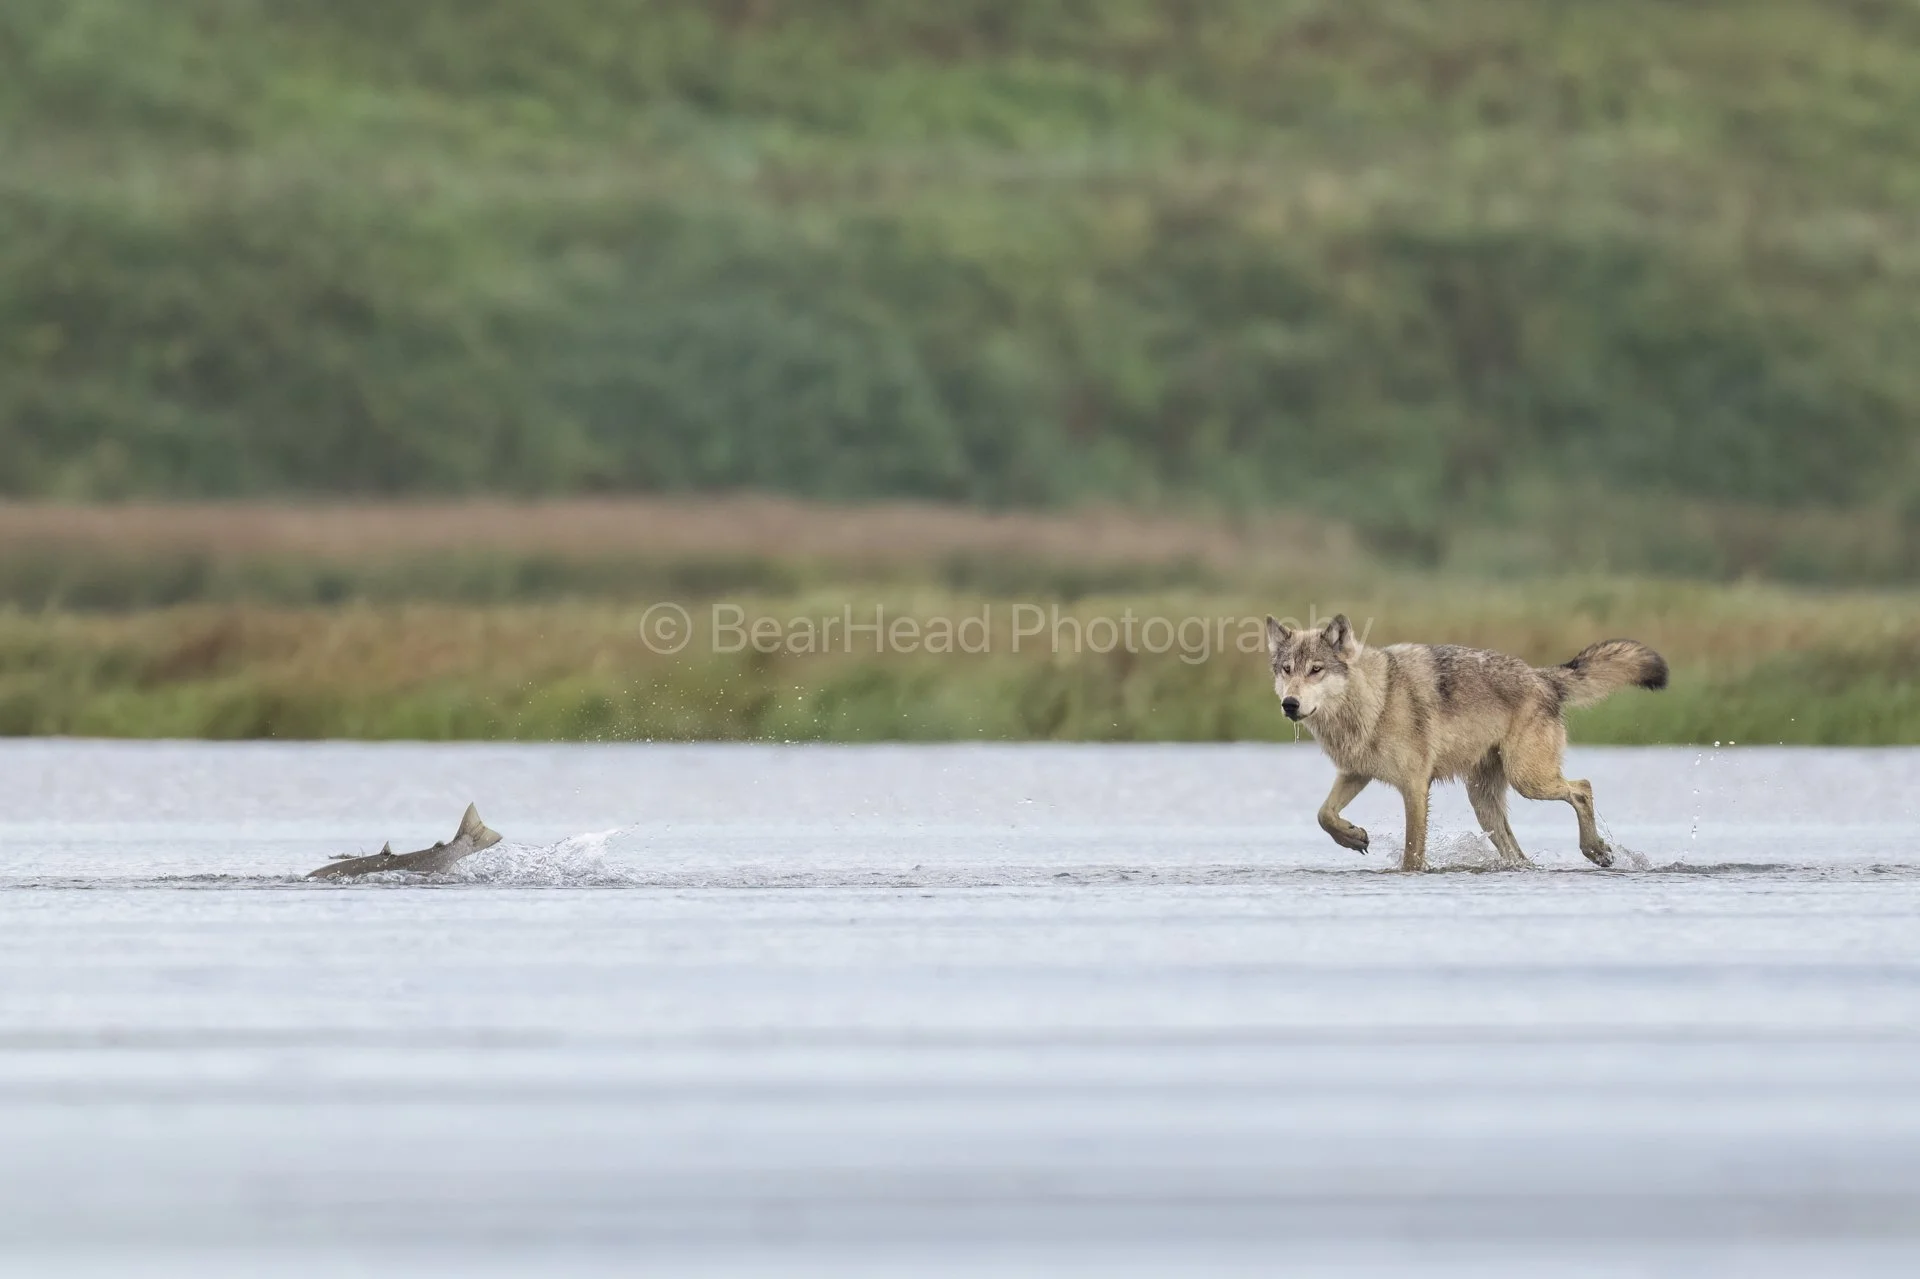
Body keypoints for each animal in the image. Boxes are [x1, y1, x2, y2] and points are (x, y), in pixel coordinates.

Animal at [1266, 615, 1666, 872]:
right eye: (1287, 670)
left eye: (1316, 670)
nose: (1290, 704)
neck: (1376, 699)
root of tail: (1541, 676)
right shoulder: (1354, 773)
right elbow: (1324, 815)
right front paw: (1353, 837)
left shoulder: (1415, 786)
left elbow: (1412, 853)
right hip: (1484, 802)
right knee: (1517, 853)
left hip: (1528, 781)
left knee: (1582, 787)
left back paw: (1596, 852)